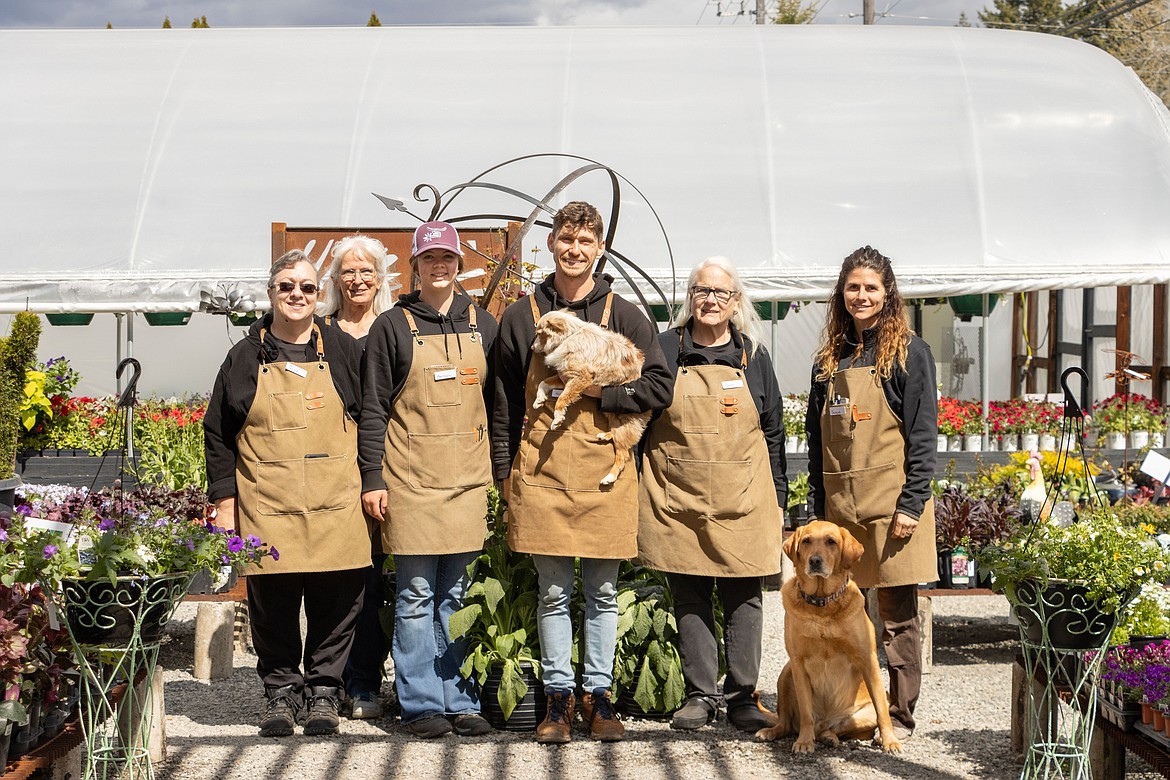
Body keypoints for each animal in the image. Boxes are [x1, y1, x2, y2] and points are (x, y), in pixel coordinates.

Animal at [531, 308, 650, 484]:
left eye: (539, 334)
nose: (532, 347)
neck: (570, 336)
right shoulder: (564, 376)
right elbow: (543, 383)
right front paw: (539, 400)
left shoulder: (581, 378)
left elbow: (561, 399)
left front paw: (557, 419)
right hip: (612, 415)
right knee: (615, 435)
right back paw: (605, 435)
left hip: (623, 422)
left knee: (622, 455)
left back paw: (609, 477)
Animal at [753, 521, 907, 753]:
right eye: (806, 541)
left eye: (831, 541)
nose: (815, 561)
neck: (821, 604)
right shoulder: (798, 662)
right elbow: (806, 713)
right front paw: (804, 741)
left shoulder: (868, 660)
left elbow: (882, 711)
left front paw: (890, 740)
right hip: (786, 673)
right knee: (787, 723)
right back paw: (774, 732)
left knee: (837, 727)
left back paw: (833, 737)